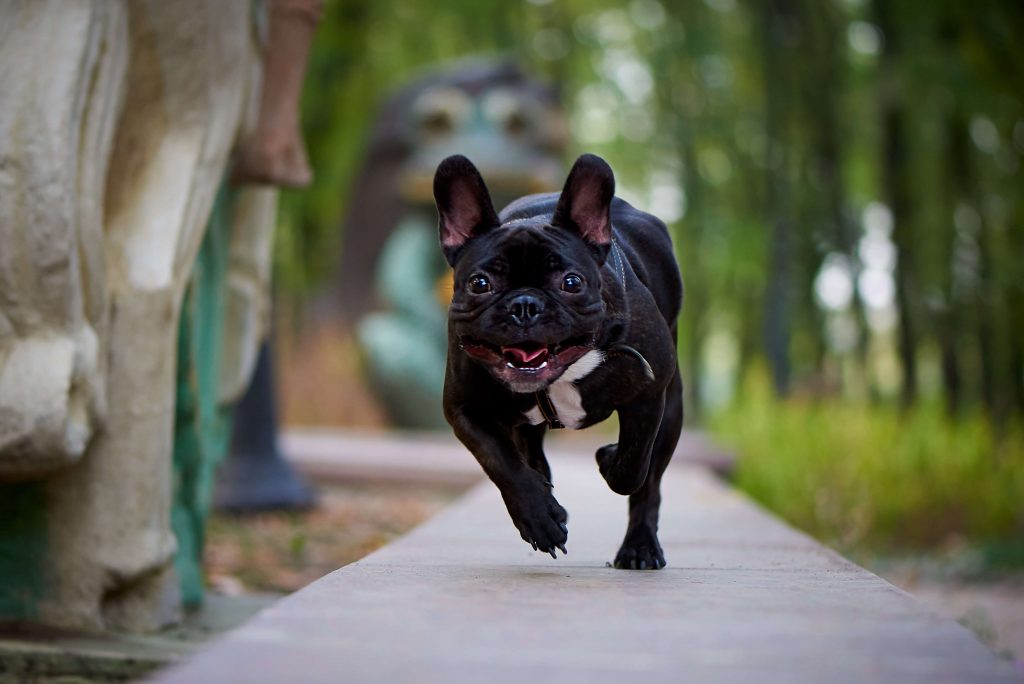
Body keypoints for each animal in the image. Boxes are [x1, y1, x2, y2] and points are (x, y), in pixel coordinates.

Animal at [432, 152, 679, 569]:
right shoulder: (466, 409)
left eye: (572, 282)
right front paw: (539, 518)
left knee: (650, 482)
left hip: (673, 407)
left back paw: (640, 547)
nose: (524, 305)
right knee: (528, 445)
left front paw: (608, 458)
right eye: (480, 284)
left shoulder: (648, 397)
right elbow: (502, 462)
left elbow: (632, 468)